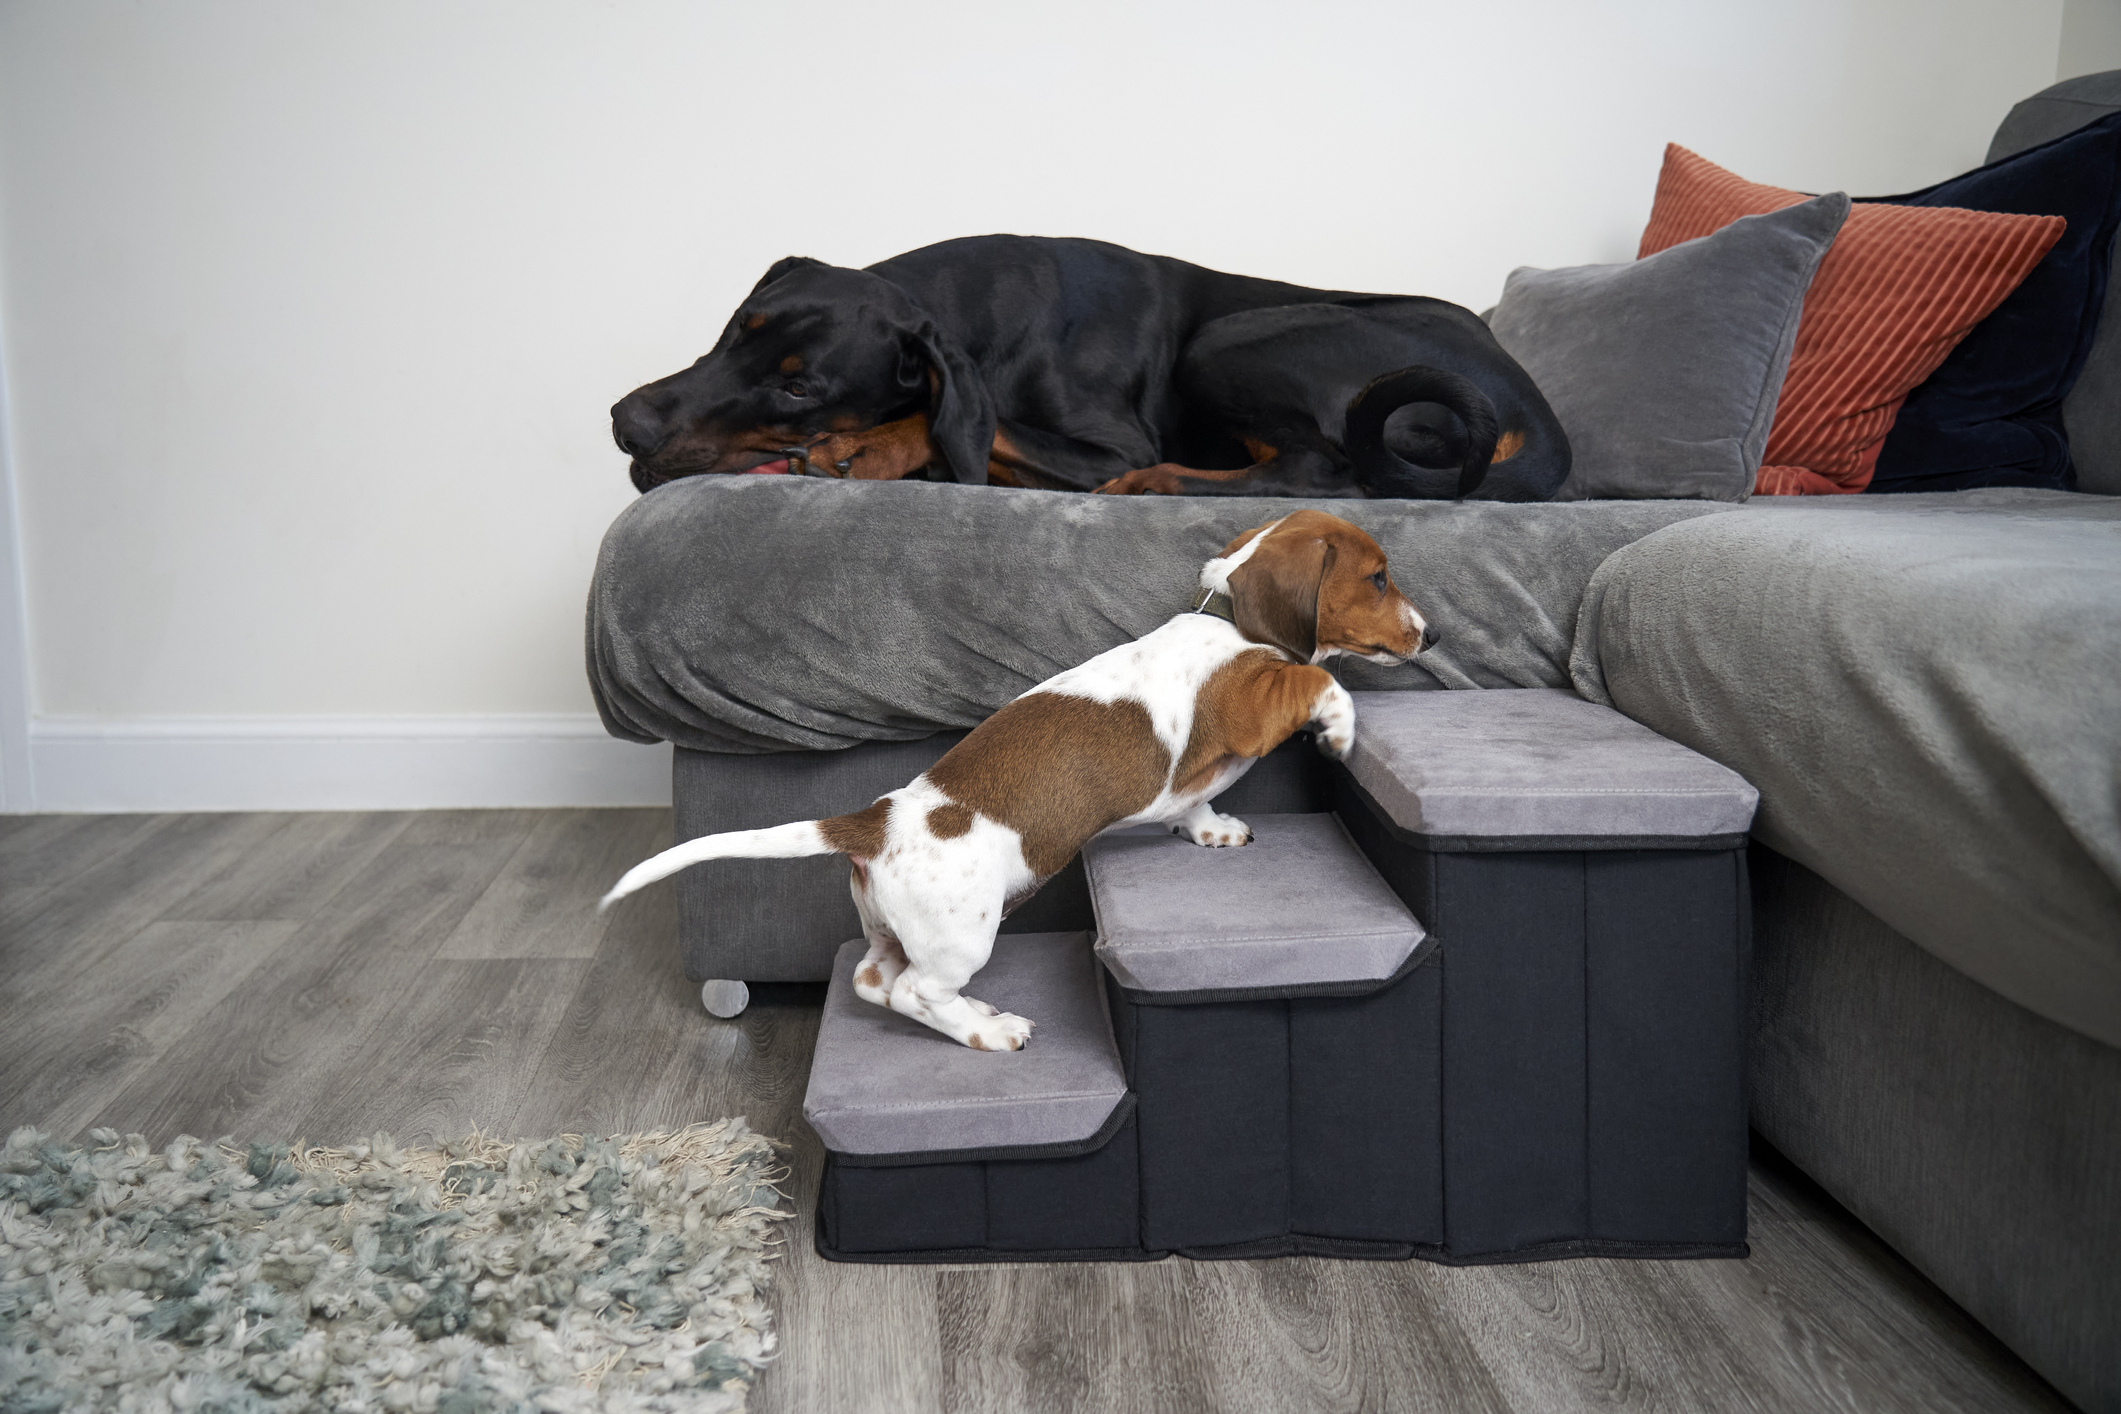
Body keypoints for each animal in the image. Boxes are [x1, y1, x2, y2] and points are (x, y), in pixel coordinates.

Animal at [598, 510, 1433, 1051]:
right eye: (1377, 578)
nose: (1430, 637)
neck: (1231, 618)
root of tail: (877, 818)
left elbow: (1197, 798)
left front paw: (1209, 829)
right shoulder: (1255, 701)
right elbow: (1321, 684)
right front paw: (1340, 730)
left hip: (890, 928)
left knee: (873, 981)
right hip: (962, 936)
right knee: (913, 992)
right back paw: (988, 1029)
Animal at [606, 240, 1569, 506]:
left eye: (800, 388)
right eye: (735, 327)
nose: (627, 422)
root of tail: (1530, 403)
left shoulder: (1107, 441)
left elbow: (969, 421)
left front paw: (867, 448)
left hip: (1230, 337)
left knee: (1323, 471)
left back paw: (1161, 484)